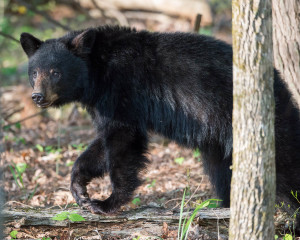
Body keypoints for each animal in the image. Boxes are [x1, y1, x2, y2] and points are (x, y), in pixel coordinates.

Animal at [19, 25, 298, 231]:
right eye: (34, 72)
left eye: (55, 72)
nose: (38, 96)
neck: (98, 70)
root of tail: (278, 80)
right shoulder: (105, 104)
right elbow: (101, 144)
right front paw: (79, 188)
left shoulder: (122, 91)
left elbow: (123, 142)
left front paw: (107, 202)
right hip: (220, 142)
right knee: (222, 170)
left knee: (284, 163)